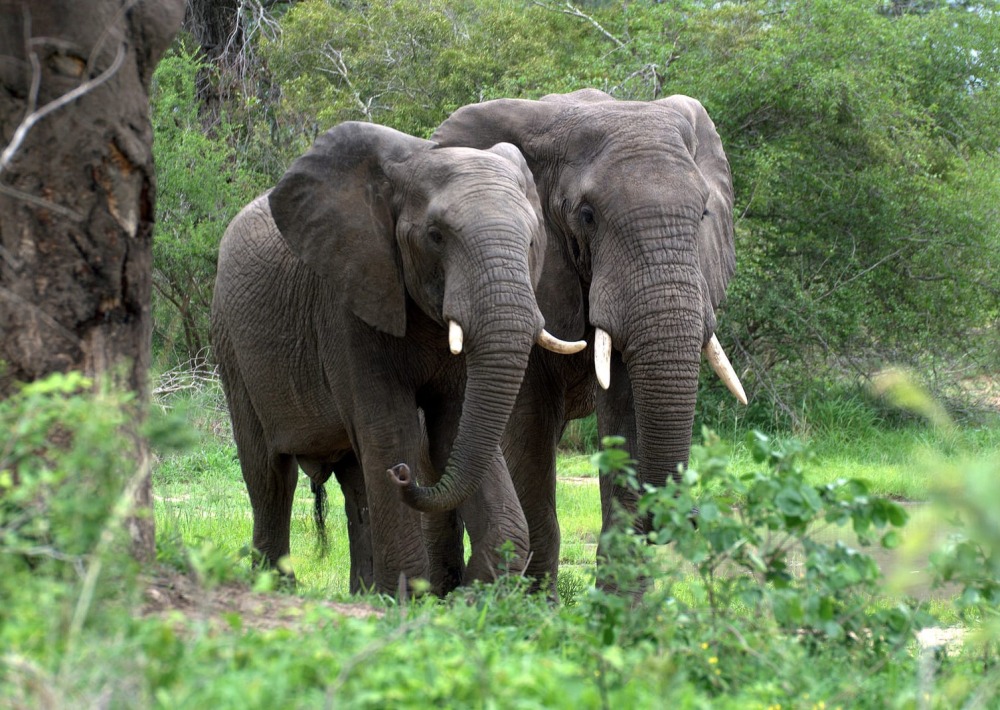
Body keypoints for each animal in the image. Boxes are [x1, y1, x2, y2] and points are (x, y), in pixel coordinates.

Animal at [212, 122, 584, 596]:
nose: (405, 474)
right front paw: (405, 600)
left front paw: (467, 594)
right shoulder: (347, 302)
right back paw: (278, 589)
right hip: (230, 341)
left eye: (533, 240)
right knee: (270, 475)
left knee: (354, 481)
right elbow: (389, 428)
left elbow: (455, 429)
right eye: (435, 235)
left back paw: (363, 593)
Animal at [394, 86, 748, 592]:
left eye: (702, 214)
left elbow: (626, 412)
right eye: (587, 215)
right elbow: (527, 431)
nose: (693, 514)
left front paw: (620, 606)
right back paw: (439, 594)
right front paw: (532, 606)